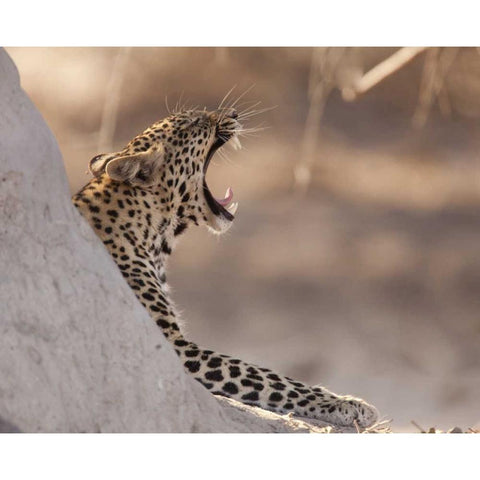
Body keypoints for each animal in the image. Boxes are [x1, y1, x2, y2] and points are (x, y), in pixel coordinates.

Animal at [72, 104, 378, 428]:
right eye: (193, 122)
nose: (232, 113)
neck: (154, 234)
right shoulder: (175, 347)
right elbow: (263, 375)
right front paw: (347, 403)